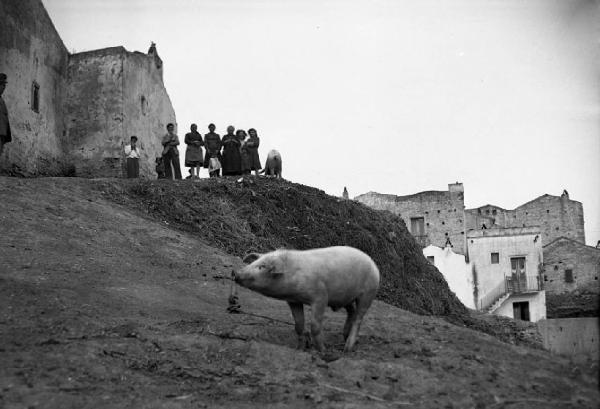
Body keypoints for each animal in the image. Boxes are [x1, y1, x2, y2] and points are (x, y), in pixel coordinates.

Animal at [232, 245, 378, 350]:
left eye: (262, 267)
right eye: (253, 263)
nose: (235, 272)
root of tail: (374, 264)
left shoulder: (321, 296)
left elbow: (315, 325)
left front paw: (322, 351)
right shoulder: (293, 301)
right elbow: (298, 324)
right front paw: (300, 348)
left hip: (368, 293)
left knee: (358, 317)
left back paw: (347, 348)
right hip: (346, 297)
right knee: (351, 312)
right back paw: (345, 337)